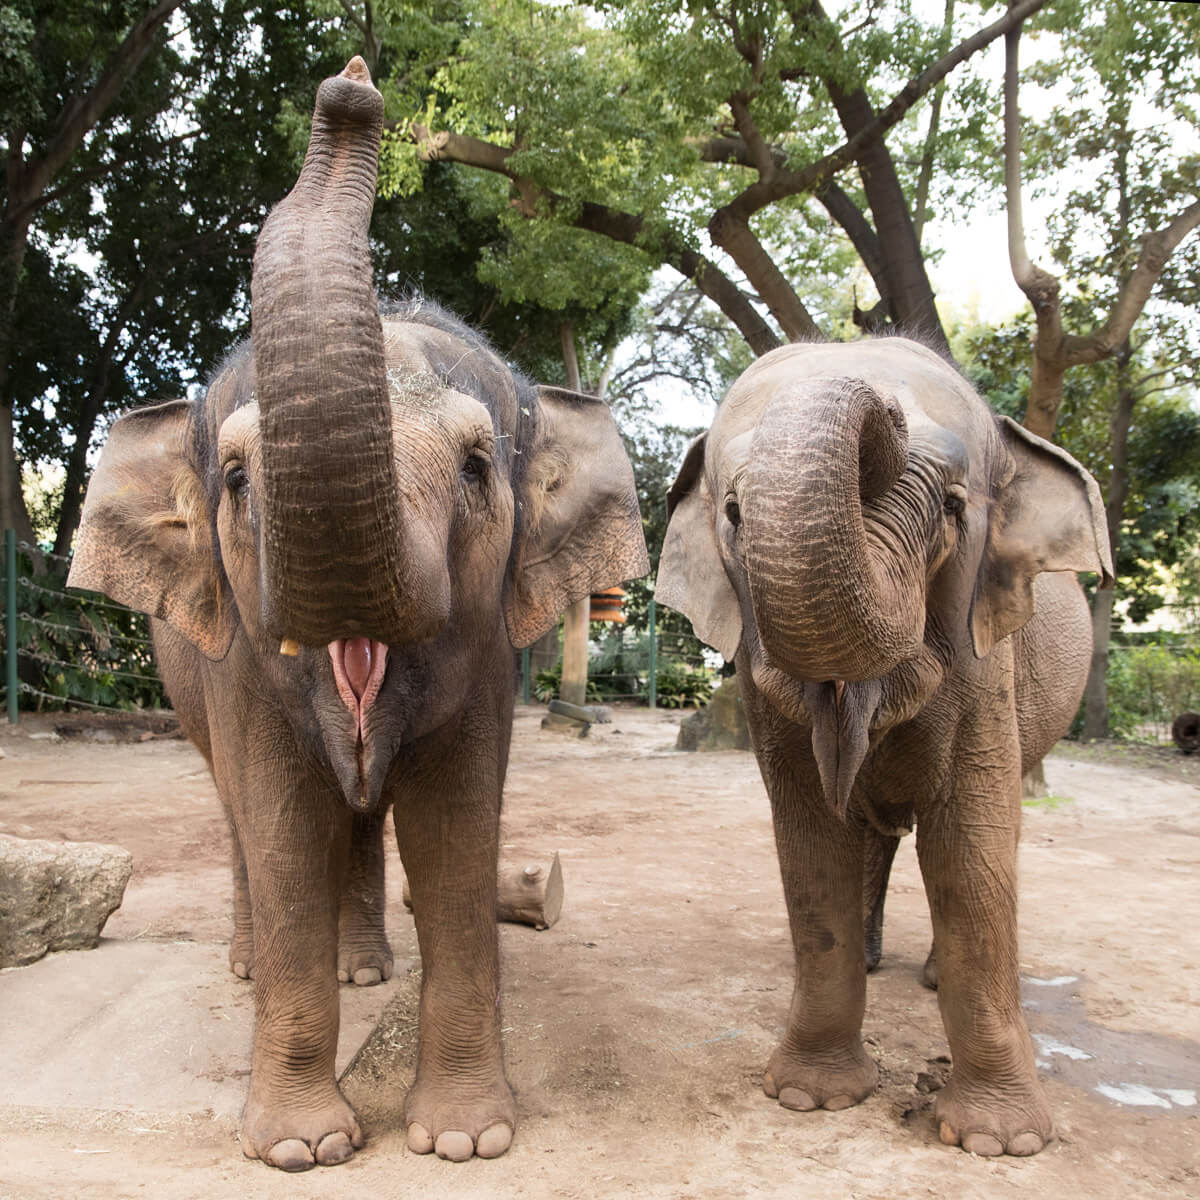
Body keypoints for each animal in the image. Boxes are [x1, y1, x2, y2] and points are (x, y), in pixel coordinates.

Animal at [68, 59, 647, 1172]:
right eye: (237, 479)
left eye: (477, 467)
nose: (351, 81)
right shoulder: (241, 665)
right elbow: (285, 827)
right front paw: (300, 1150)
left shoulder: (486, 654)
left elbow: (456, 829)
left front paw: (464, 1140)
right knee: (238, 815)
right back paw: (253, 965)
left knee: (367, 816)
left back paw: (369, 971)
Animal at [656, 337, 1111, 1158]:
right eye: (734, 513)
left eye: (955, 507)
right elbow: (812, 841)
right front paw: (810, 1098)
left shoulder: (986, 661)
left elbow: (970, 849)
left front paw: (999, 1144)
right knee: (870, 832)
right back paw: (872, 960)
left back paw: (928, 977)